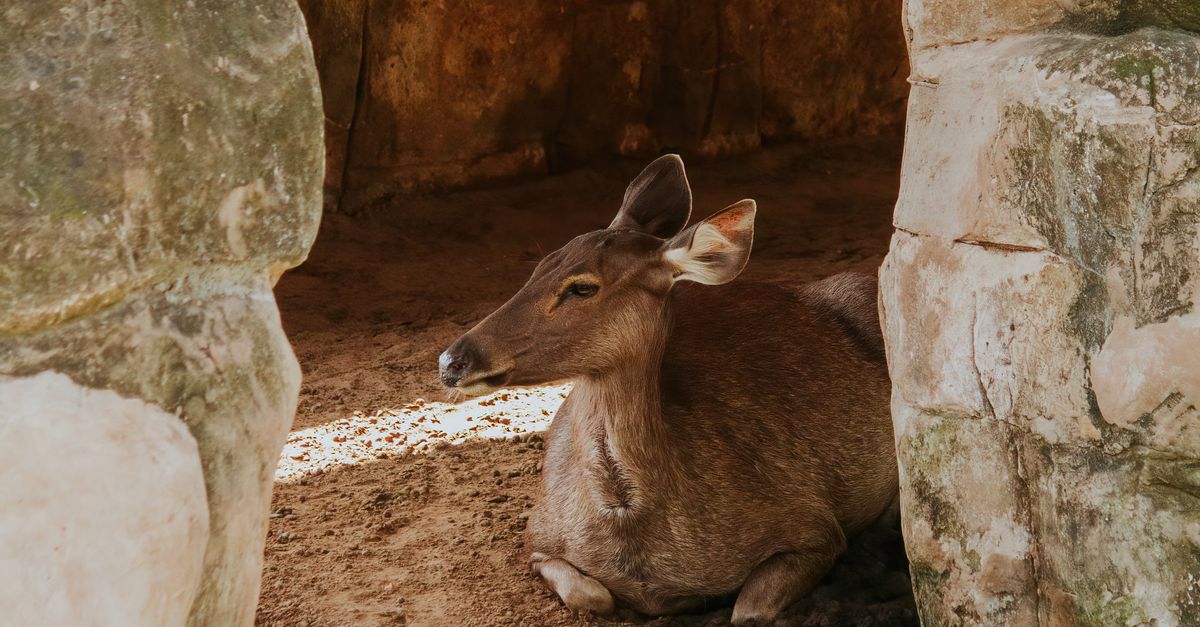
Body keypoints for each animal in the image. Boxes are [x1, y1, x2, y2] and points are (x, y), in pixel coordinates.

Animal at [437, 155, 898, 624]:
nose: (452, 361)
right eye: (539, 266)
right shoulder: (537, 536)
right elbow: (592, 595)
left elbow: (747, 611)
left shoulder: (814, 526)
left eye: (582, 287)